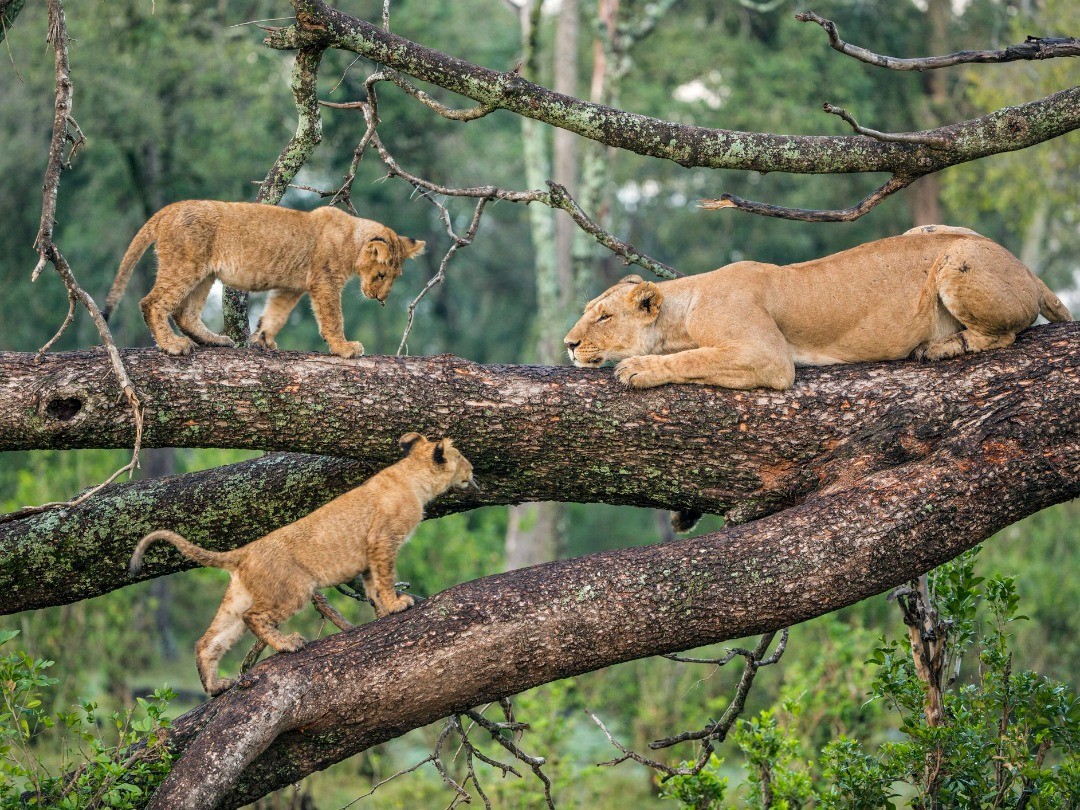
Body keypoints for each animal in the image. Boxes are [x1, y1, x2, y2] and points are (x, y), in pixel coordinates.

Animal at [102, 200, 425, 358]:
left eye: (395, 277)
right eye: (381, 275)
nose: (381, 299)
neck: (351, 238)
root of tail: (170, 208)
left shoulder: (291, 288)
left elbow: (275, 314)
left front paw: (263, 340)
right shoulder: (324, 282)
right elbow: (333, 318)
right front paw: (344, 348)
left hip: (204, 273)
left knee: (186, 313)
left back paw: (215, 340)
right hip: (185, 265)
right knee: (152, 302)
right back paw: (173, 345)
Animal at [128, 432, 475, 696]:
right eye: (460, 456)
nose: (474, 470)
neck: (412, 477)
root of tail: (244, 551)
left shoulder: (367, 556)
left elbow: (373, 586)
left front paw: (383, 611)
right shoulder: (382, 541)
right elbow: (386, 578)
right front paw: (397, 604)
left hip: (238, 599)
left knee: (207, 641)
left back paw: (215, 686)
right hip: (294, 589)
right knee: (255, 617)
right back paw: (287, 644)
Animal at [565, 227, 1071, 390]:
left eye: (604, 316)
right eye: (588, 309)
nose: (568, 344)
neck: (683, 309)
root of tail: (1027, 269)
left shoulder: (768, 355)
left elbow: (694, 358)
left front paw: (637, 368)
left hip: (956, 259)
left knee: (1003, 334)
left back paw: (942, 347)